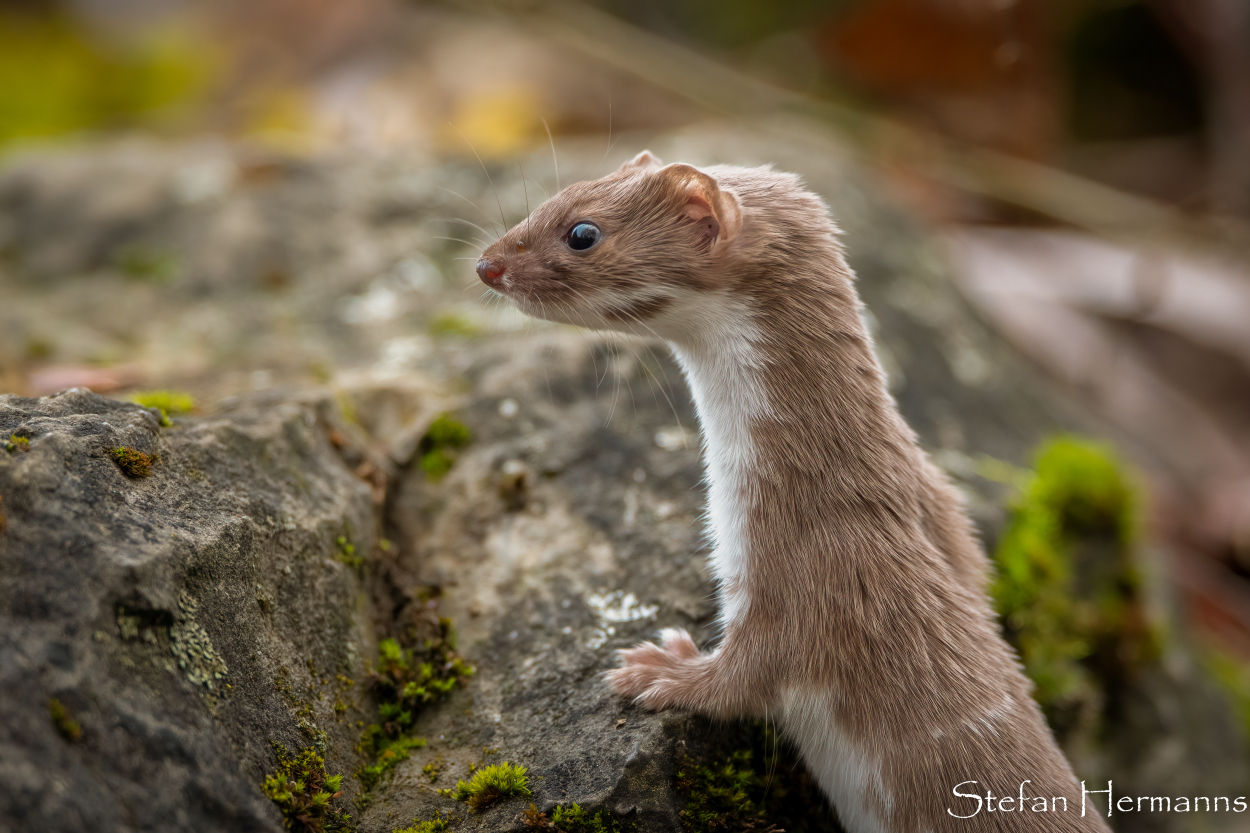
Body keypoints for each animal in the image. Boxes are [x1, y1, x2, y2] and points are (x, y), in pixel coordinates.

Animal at [475, 150, 1115, 830]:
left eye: (582, 232)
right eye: (555, 195)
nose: (486, 264)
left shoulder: (815, 574)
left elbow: (744, 679)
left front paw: (661, 669)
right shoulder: (947, 517)